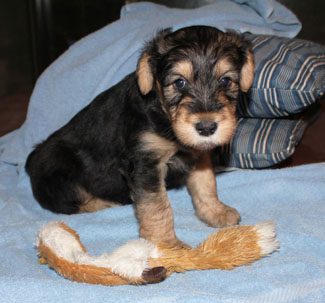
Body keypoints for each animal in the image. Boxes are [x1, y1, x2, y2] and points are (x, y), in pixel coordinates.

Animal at [25, 26, 253, 248]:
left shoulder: (198, 154)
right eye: (179, 82)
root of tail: (32, 159)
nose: (206, 127)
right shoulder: (146, 164)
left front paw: (216, 212)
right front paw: (167, 245)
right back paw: (108, 202)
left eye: (225, 81)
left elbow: (206, 183)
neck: (164, 117)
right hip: (61, 168)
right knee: (72, 204)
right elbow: (156, 207)